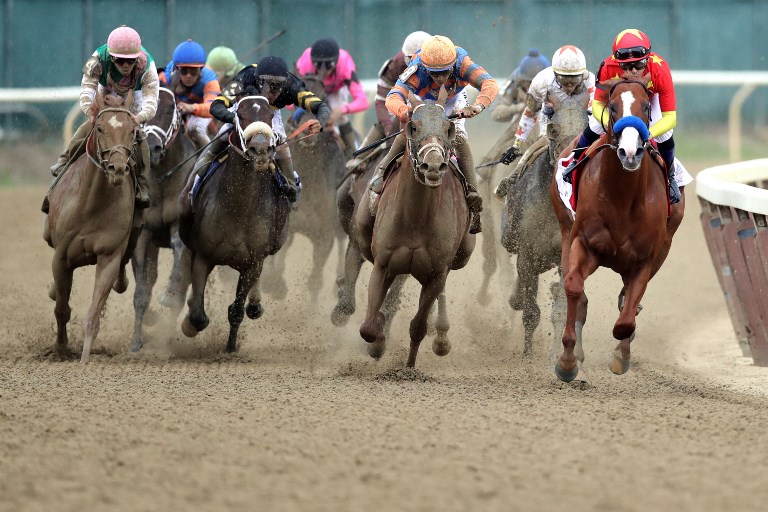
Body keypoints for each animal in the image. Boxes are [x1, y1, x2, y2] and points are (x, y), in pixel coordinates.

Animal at [41, 93, 141, 364]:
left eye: (132, 130)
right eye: (100, 128)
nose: (117, 168)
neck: (90, 205)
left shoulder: (109, 257)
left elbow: (93, 314)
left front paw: (85, 360)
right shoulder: (61, 258)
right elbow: (62, 309)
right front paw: (61, 348)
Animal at [129, 88, 196, 352]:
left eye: (170, 109)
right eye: (140, 109)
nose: (152, 147)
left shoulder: (179, 224)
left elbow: (180, 255)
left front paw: (169, 296)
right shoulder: (144, 233)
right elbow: (142, 290)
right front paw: (136, 341)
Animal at [178, 95, 290, 352]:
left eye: (270, 115)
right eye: (241, 115)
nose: (261, 150)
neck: (239, 207)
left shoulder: (253, 262)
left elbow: (237, 309)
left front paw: (230, 347)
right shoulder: (204, 255)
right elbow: (198, 317)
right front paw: (188, 325)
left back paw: (255, 303)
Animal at [354, 89, 474, 368]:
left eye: (448, 127)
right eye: (414, 127)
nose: (434, 166)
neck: (415, 218)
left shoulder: (436, 272)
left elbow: (418, 326)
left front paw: (408, 367)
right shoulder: (383, 264)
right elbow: (368, 327)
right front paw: (378, 340)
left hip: (460, 256)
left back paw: (441, 335)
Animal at [548, 78, 688, 382]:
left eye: (646, 107)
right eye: (612, 108)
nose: (630, 152)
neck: (622, 198)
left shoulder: (646, 258)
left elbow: (626, 318)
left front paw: (621, 356)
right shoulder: (583, 242)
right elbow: (573, 287)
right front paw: (567, 360)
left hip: (665, 245)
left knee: (628, 302)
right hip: (564, 230)